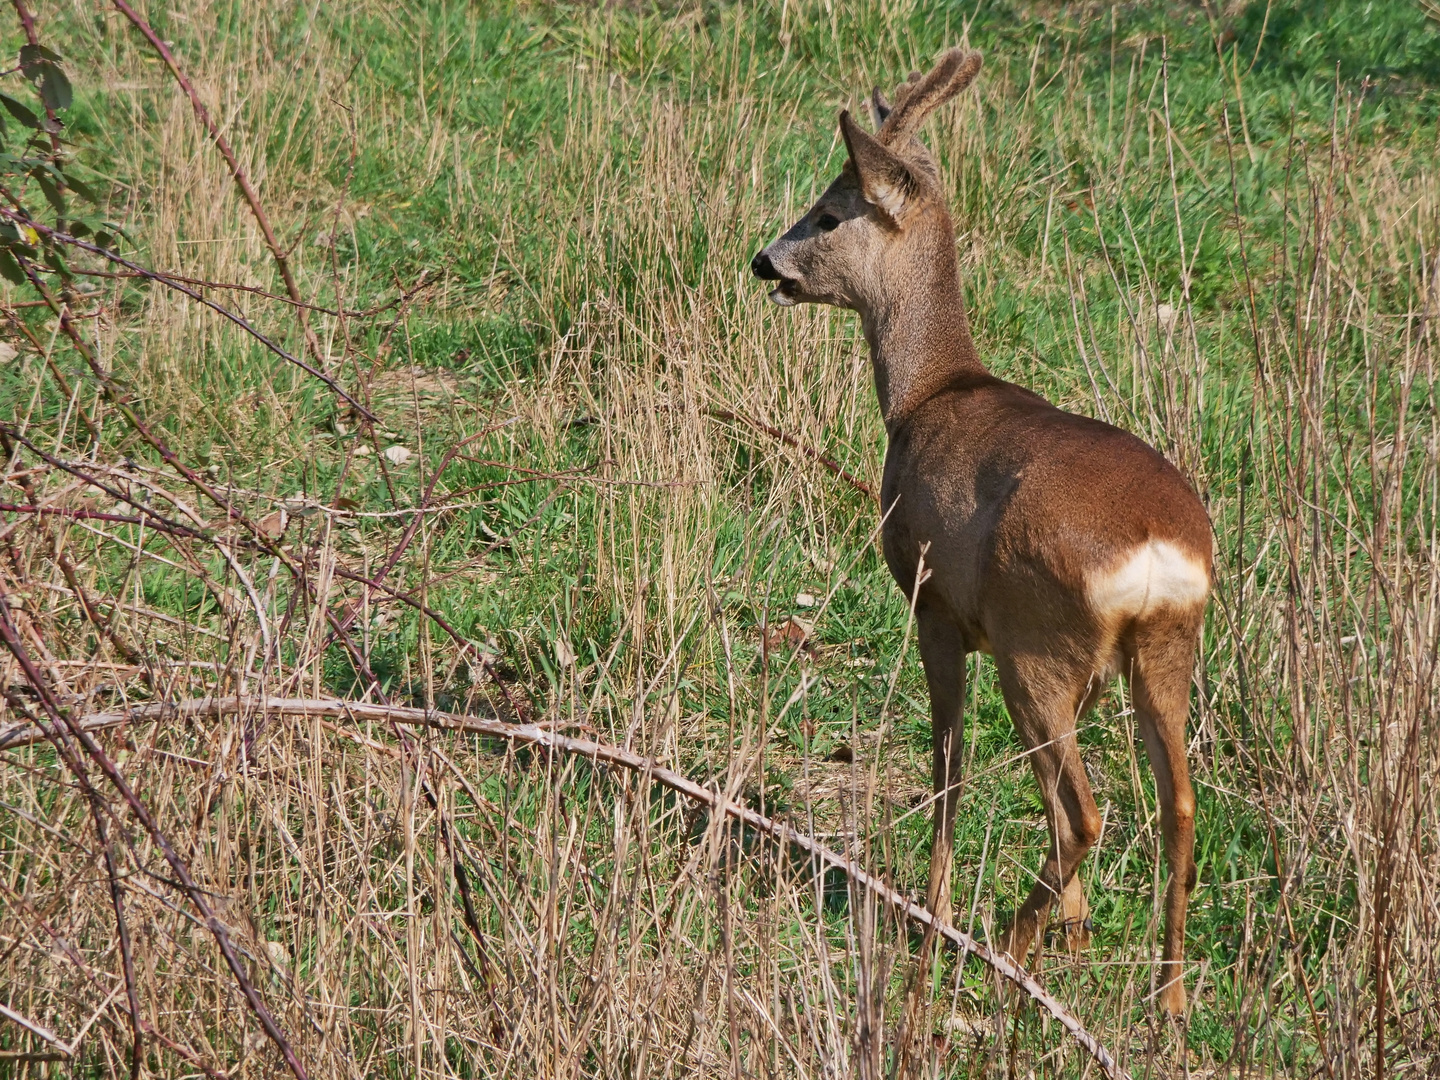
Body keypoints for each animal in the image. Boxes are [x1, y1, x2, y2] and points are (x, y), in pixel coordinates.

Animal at [754, 48, 1215, 1013]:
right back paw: (1165, 996)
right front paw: (1077, 926)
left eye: (829, 210)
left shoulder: (933, 604)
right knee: (1177, 803)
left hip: (1034, 639)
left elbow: (947, 766)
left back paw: (1005, 948)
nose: (763, 260)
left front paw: (933, 919)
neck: (929, 391)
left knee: (1086, 808)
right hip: (1158, 650)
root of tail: (1160, 558)